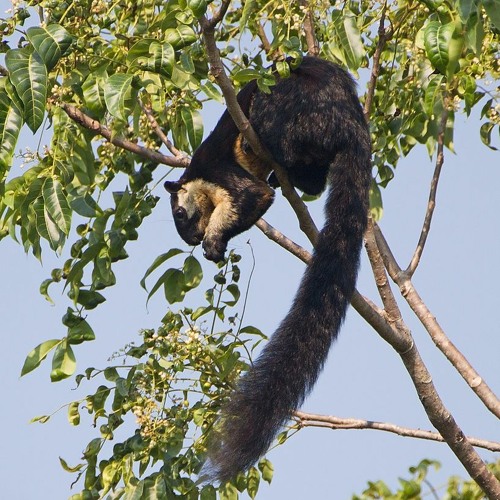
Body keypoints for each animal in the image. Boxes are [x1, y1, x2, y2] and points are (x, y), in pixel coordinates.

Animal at [164, 56, 372, 482]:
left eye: (179, 214)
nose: (191, 239)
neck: (199, 176)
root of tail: (351, 125)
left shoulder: (221, 171)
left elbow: (254, 197)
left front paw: (214, 242)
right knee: (313, 179)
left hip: (279, 110)